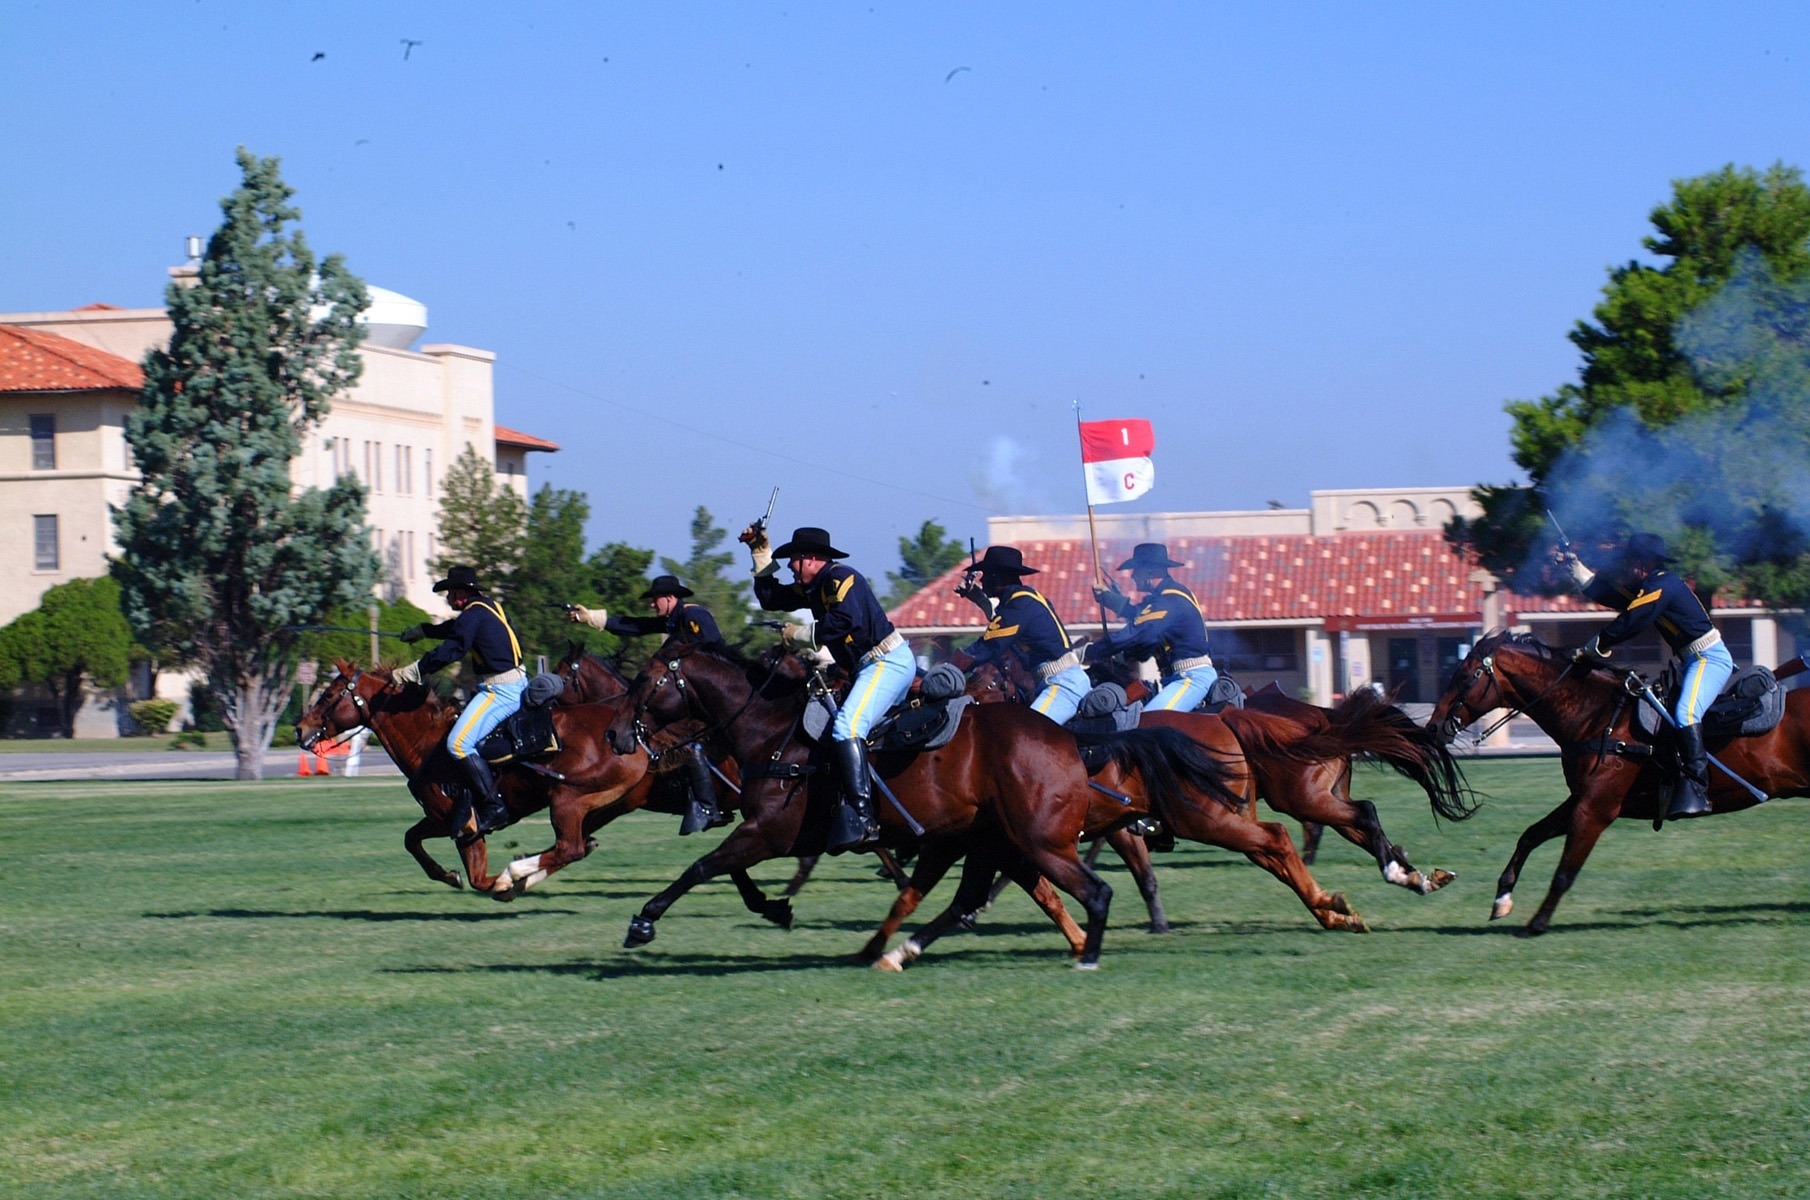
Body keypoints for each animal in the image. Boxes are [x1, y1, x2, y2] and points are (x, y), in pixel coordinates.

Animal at [1426, 633, 1810, 933]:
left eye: (1465, 676)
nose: (1433, 727)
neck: (1596, 717)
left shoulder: (1596, 810)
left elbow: (1565, 871)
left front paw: (1537, 922)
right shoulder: (1581, 800)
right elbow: (1531, 835)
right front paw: (1502, 897)